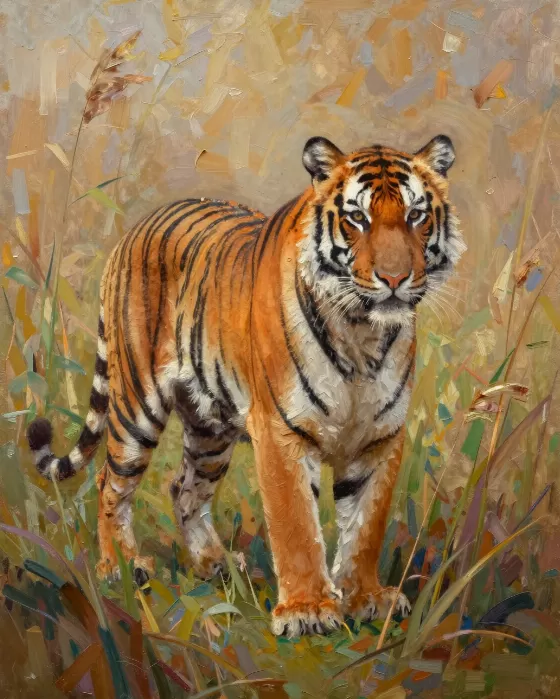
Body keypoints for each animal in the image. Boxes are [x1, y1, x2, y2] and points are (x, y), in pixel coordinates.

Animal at [27, 134, 464, 637]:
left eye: (416, 215)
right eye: (358, 218)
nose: (394, 279)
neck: (362, 334)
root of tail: (132, 231)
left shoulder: (381, 438)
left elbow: (365, 526)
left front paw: (364, 597)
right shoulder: (281, 431)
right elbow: (296, 525)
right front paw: (307, 609)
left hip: (210, 428)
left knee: (184, 488)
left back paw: (213, 563)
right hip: (137, 404)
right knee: (109, 481)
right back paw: (119, 565)